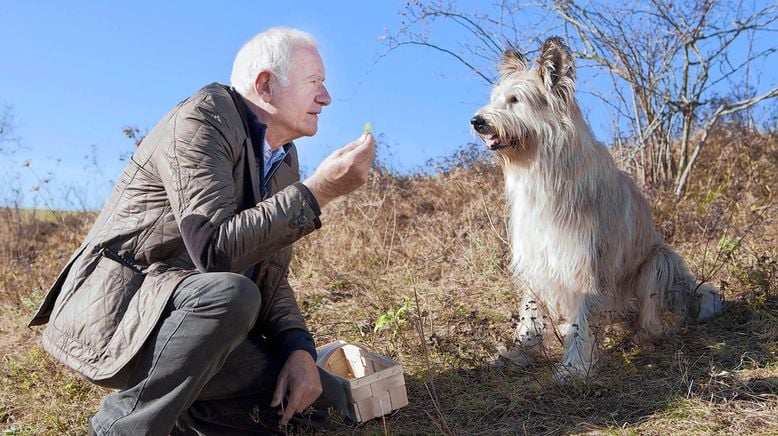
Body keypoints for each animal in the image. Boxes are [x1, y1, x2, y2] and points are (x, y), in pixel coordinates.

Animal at [470, 36, 720, 378]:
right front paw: (520, 353)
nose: (476, 122)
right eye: (495, 99)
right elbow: (530, 312)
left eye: (515, 100)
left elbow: (583, 322)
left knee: (654, 315)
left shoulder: (586, 262)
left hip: (660, 261)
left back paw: (649, 335)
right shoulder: (536, 255)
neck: (544, 170)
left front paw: (574, 369)